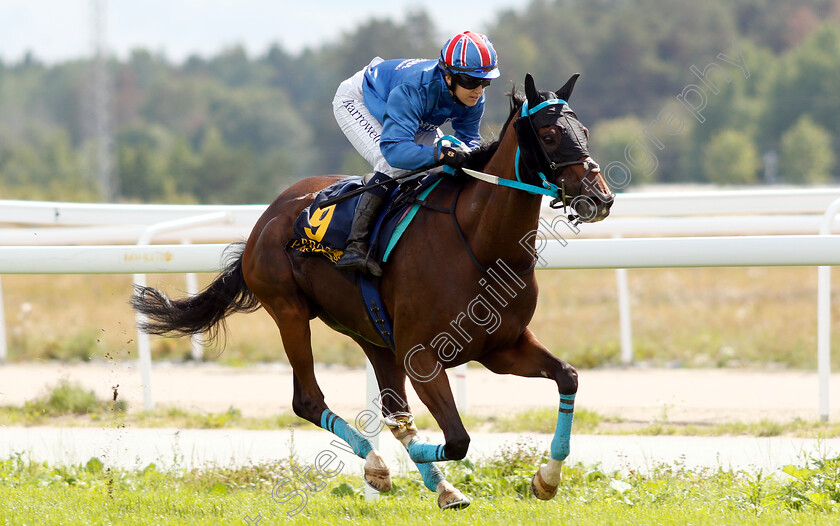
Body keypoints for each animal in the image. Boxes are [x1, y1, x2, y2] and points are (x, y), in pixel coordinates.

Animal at [133, 73, 616, 512]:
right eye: (550, 135)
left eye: (585, 131)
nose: (600, 196)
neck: (478, 244)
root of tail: (267, 217)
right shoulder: (422, 356)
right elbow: (457, 439)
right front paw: (418, 462)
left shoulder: (503, 348)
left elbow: (568, 377)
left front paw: (546, 479)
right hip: (289, 312)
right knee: (309, 400)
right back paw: (377, 466)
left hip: (373, 334)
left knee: (391, 408)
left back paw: (438, 486)